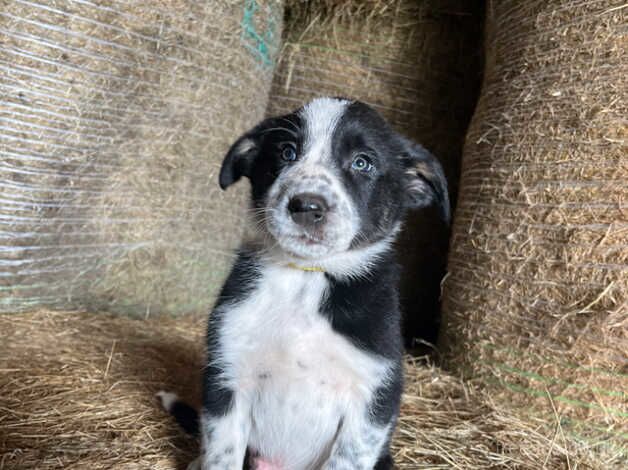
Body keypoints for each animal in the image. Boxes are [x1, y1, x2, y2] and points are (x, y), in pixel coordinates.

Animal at [159, 96, 448, 470]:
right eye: (287, 152)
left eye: (362, 162)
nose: (307, 206)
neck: (305, 279)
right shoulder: (227, 374)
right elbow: (222, 455)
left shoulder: (374, 395)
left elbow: (347, 459)